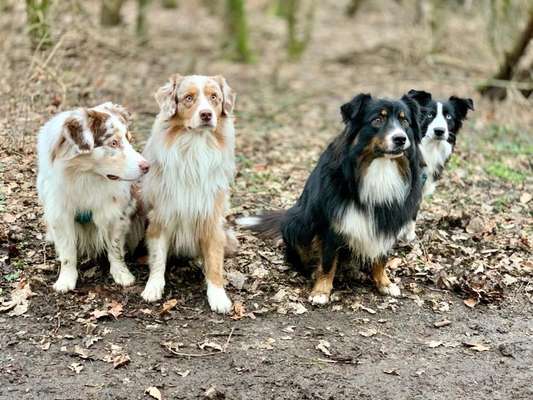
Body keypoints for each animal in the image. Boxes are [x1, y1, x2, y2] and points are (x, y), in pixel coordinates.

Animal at [37, 101, 150, 292]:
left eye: (129, 139)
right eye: (113, 143)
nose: (147, 166)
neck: (86, 177)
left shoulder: (115, 212)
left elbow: (115, 248)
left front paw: (122, 274)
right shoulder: (60, 213)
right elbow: (67, 252)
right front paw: (66, 279)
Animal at [139, 74, 237, 312]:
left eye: (214, 97)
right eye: (188, 98)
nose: (206, 114)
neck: (195, 148)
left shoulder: (211, 216)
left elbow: (214, 261)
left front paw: (218, 295)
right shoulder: (161, 215)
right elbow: (158, 258)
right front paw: (153, 287)